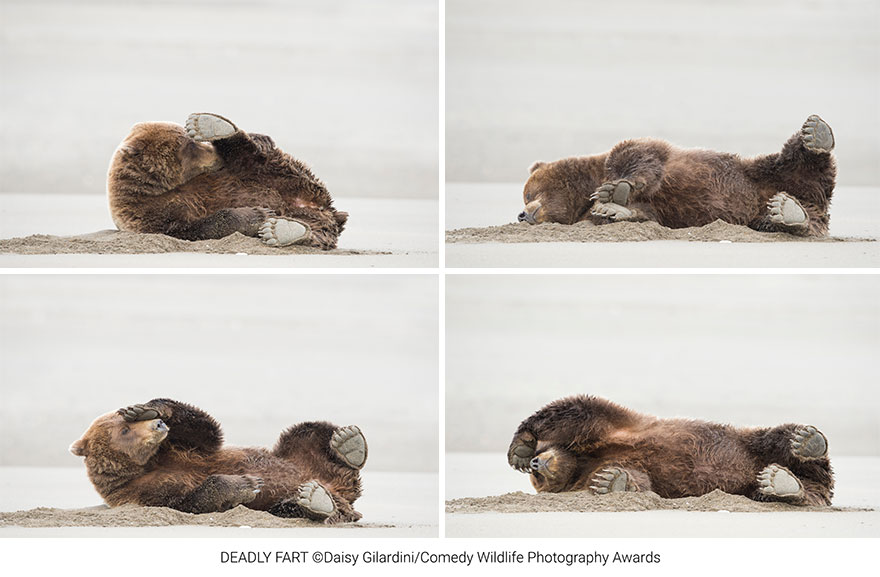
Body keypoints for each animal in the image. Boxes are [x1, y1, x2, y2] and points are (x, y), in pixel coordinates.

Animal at [69, 396, 368, 520]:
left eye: (125, 422)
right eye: (123, 431)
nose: (158, 426)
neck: (147, 464)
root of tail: (340, 487)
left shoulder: (181, 448)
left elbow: (204, 428)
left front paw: (144, 408)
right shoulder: (140, 493)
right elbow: (188, 501)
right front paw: (246, 484)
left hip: (295, 454)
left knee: (307, 431)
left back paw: (348, 444)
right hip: (292, 498)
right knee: (291, 506)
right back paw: (315, 501)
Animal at [106, 112, 348, 248]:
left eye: (190, 141)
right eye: (188, 147)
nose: (214, 154)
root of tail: (325, 209)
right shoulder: (150, 216)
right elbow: (195, 227)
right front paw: (259, 214)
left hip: (270, 173)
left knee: (251, 155)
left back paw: (212, 125)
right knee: (318, 233)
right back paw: (282, 229)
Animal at [508, 394, 832, 506]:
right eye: (537, 480)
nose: (535, 464)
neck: (581, 460)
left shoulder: (616, 429)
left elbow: (578, 411)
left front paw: (520, 447)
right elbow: (640, 480)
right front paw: (611, 481)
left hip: (750, 443)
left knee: (777, 436)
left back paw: (807, 441)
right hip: (765, 485)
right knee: (802, 492)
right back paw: (782, 483)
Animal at [520, 115, 836, 236]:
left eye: (527, 192)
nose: (521, 214)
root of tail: (816, 203)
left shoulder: (638, 151)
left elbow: (640, 158)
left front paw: (615, 190)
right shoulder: (660, 211)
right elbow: (642, 214)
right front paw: (613, 209)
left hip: (762, 171)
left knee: (800, 162)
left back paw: (816, 134)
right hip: (763, 213)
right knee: (797, 220)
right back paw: (790, 212)